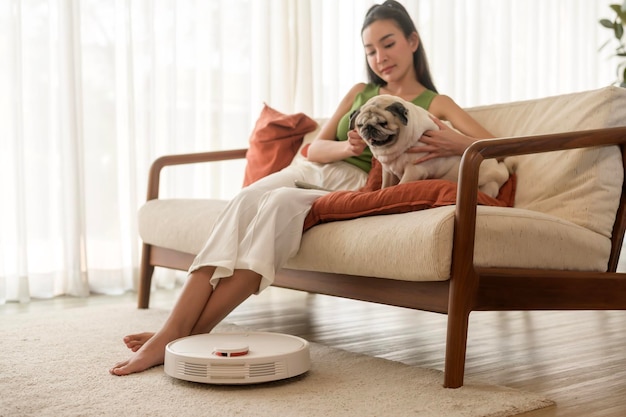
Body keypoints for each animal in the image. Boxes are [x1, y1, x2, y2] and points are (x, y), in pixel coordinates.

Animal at [348, 94, 510, 198]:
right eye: (360, 125)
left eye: (383, 123)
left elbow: (400, 185)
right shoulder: (388, 171)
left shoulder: (414, 171)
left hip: (489, 186)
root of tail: (503, 171)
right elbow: (385, 186)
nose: (369, 128)